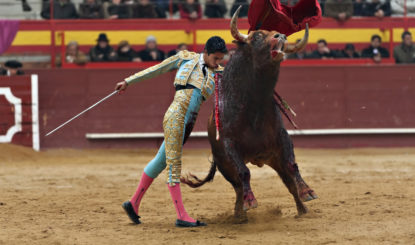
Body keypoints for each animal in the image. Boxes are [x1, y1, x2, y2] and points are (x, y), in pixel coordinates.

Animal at [182, 6, 318, 221]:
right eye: (258, 36)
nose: (281, 36)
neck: (255, 105)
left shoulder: (282, 138)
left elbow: (292, 165)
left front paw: (307, 192)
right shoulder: (230, 144)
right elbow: (244, 172)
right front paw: (250, 202)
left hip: (273, 159)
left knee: (288, 183)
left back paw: (302, 210)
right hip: (224, 165)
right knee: (238, 185)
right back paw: (240, 214)